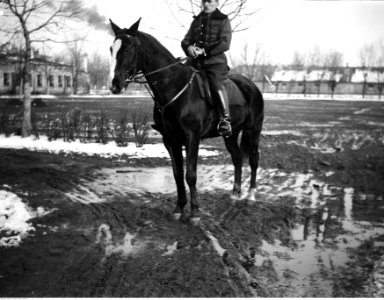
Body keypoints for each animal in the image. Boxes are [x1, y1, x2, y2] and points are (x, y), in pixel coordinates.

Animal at [108, 18, 264, 225]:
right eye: (112, 48)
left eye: (129, 48)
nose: (114, 84)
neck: (174, 87)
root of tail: (251, 85)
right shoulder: (170, 140)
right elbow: (177, 174)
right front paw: (179, 208)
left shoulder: (192, 137)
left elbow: (190, 175)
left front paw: (195, 212)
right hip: (230, 133)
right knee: (237, 158)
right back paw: (235, 194)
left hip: (253, 130)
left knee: (254, 159)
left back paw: (251, 196)